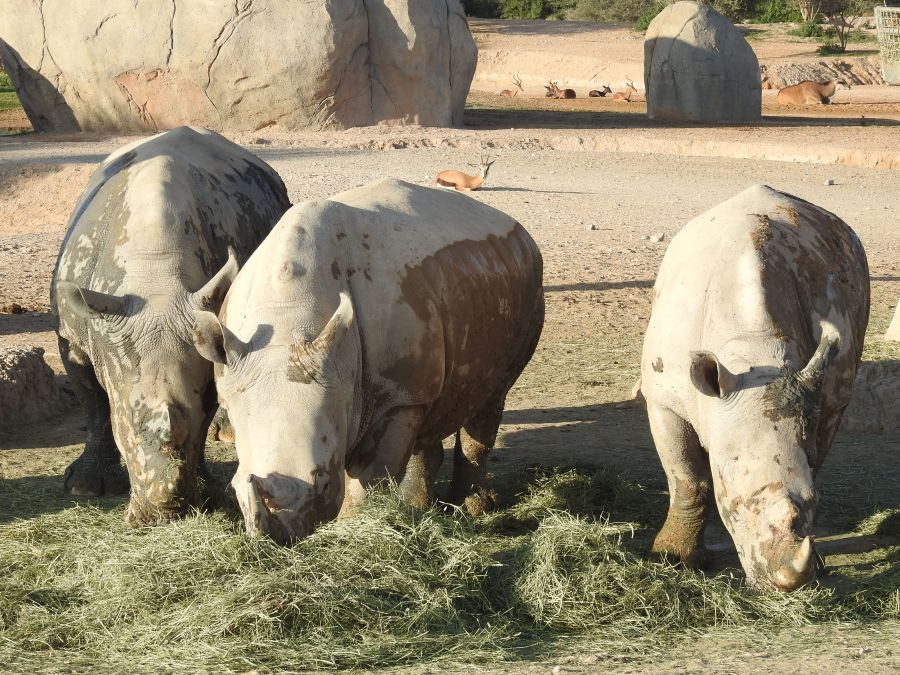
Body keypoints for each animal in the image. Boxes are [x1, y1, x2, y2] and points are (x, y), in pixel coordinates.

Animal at [51, 126, 291, 526]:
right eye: (130, 427)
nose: (166, 516)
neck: (153, 275)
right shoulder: (75, 337)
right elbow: (93, 404)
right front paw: (85, 488)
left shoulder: (201, 329)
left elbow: (203, 406)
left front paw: (207, 486)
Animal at [192, 178, 544, 544]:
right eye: (236, 487)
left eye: (323, 482)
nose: (283, 537)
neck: (289, 319)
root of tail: (512, 224)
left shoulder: (394, 396)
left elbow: (368, 477)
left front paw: (349, 531)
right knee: (432, 408)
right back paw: (419, 509)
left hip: (526, 277)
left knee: (493, 397)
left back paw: (474, 508)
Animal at [640, 185, 869, 591]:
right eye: (732, 502)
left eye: (815, 501)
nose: (783, 587)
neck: (754, 353)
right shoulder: (664, 399)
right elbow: (688, 480)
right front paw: (673, 560)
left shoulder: (822, 395)